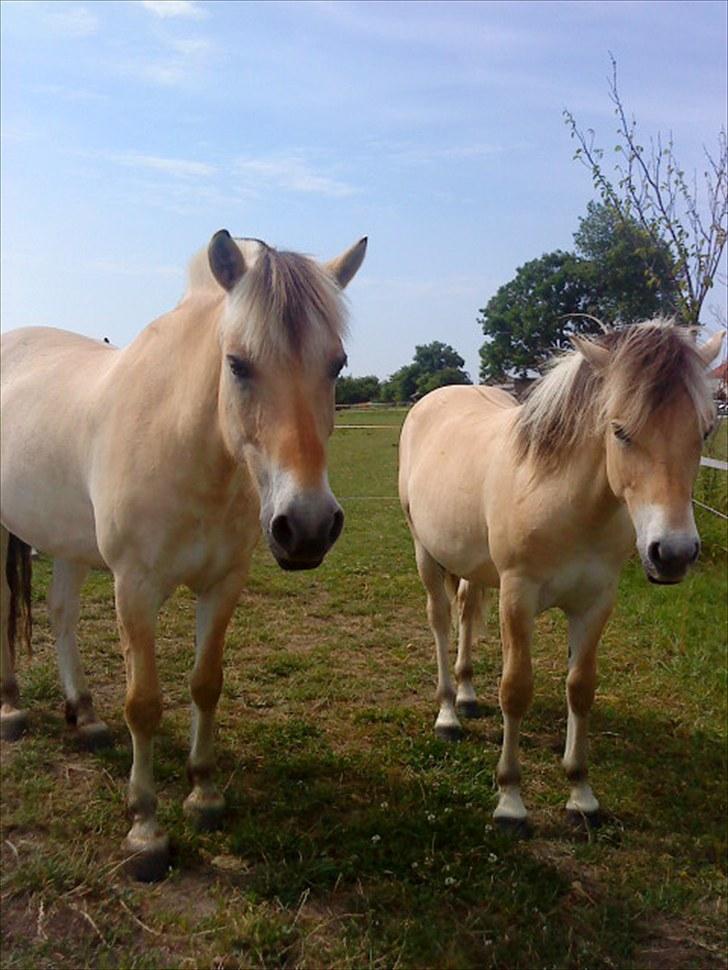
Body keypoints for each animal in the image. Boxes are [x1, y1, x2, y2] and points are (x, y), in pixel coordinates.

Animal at [0, 231, 364, 880]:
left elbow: (205, 684)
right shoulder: (133, 588)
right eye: (237, 364)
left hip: (67, 543)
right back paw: (12, 709)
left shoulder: (223, 585)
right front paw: (145, 828)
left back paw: (85, 716)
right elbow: (144, 704)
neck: (182, 442)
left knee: (61, 614)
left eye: (337, 364)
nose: (308, 527)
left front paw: (203, 794)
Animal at [398, 322, 724, 828]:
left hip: (473, 565)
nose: (672, 554)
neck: (563, 497)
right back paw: (449, 715)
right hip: (426, 555)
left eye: (705, 429)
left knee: (467, 613)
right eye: (619, 431)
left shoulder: (596, 601)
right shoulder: (517, 595)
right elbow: (516, 689)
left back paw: (468, 696)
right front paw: (510, 800)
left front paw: (580, 793)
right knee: (440, 621)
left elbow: (581, 688)